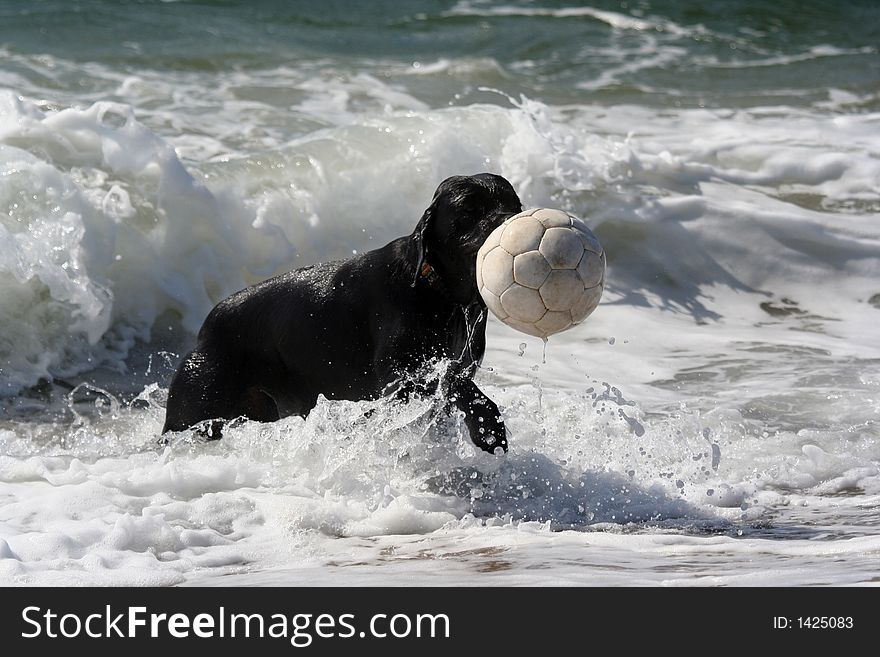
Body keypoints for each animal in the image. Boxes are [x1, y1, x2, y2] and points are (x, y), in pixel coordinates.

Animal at [161, 173, 520, 452]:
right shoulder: (404, 377)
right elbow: (452, 386)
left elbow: (460, 387)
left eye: (514, 204)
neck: (437, 290)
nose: (510, 221)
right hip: (194, 413)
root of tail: (207, 328)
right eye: (469, 208)